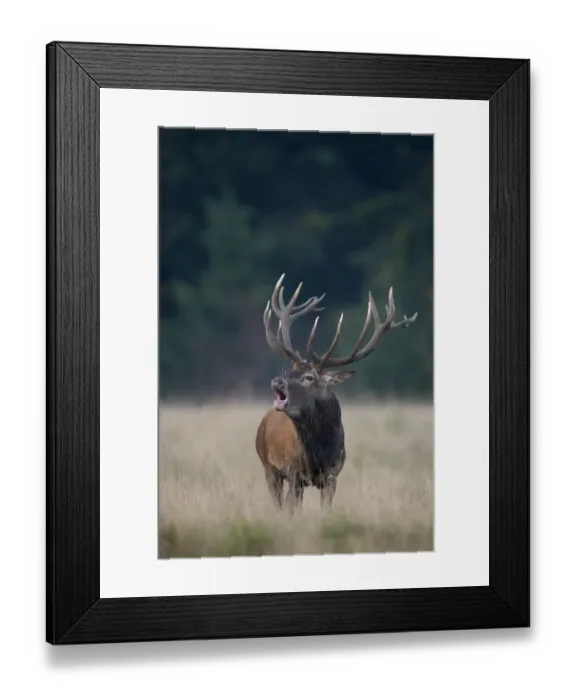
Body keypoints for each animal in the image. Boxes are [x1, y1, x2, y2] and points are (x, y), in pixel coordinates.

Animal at [255, 273, 417, 514]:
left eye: (309, 377)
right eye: (290, 371)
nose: (277, 380)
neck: (318, 452)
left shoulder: (333, 474)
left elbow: (325, 511)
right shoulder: (294, 472)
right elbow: (293, 511)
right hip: (268, 466)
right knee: (279, 504)